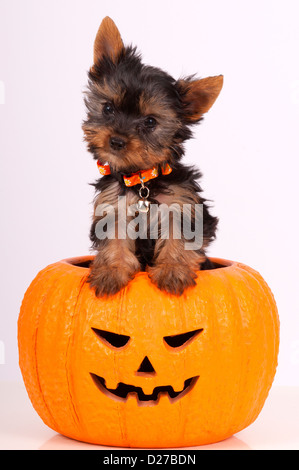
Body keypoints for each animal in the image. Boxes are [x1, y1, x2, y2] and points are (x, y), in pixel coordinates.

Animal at [83, 18, 224, 298]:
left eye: (150, 122)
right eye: (108, 108)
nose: (116, 141)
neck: (142, 180)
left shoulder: (182, 205)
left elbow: (180, 236)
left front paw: (172, 271)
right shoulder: (112, 207)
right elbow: (114, 237)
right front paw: (111, 272)